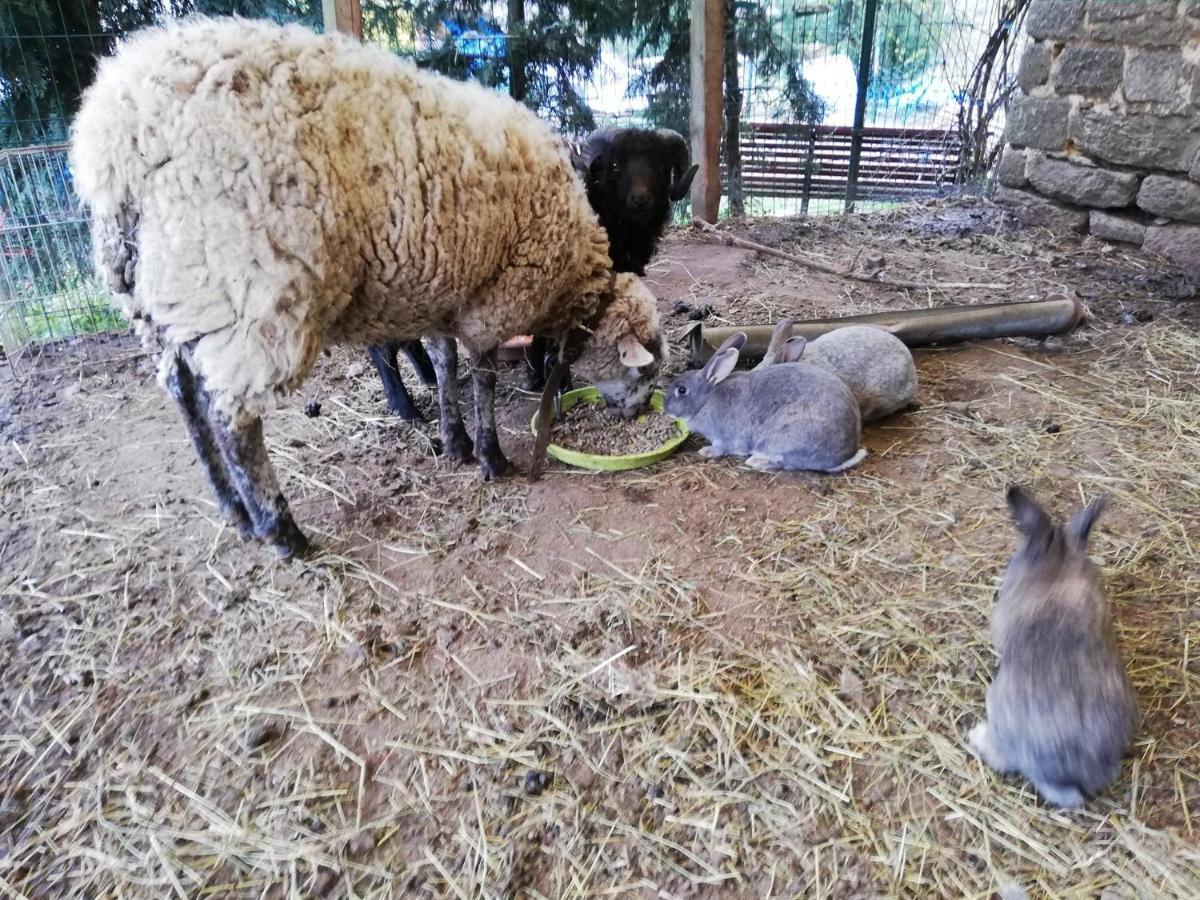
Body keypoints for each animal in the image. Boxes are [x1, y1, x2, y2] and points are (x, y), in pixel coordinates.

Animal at [71, 17, 667, 561]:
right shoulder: (492, 299)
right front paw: (491, 456)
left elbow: (444, 363)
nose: (639, 415)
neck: (573, 270)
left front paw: (454, 441)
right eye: (643, 373)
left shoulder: (448, 288)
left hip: (163, 291)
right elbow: (482, 378)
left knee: (185, 395)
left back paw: (234, 508)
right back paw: (281, 531)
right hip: (248, 285)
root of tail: (113, 137)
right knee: (233, 420)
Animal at [662, 331, 868, 472]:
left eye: (682, 390)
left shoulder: (725, 437)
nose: (666, 408)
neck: (705, 401)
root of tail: (845, 455)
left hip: (787, 439)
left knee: (786, 463)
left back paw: (758, 462)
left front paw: (706, 452)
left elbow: (720, 448)